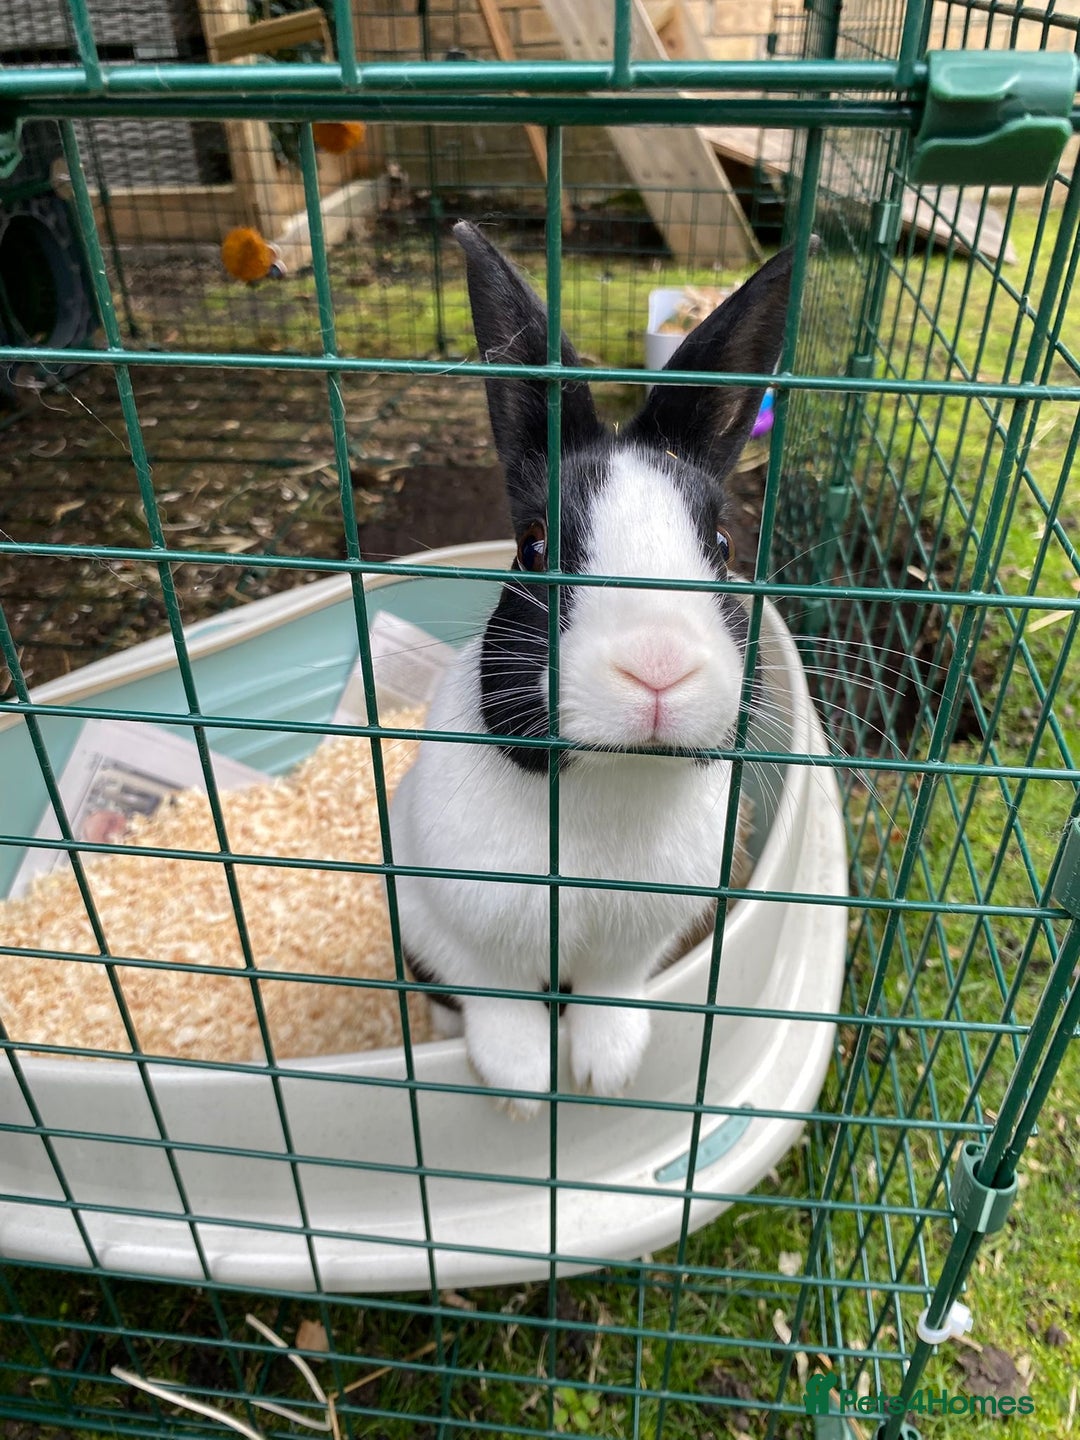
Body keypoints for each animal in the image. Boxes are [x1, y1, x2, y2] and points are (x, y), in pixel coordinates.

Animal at [389, 221, 806, 1118]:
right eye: (534, 549)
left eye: (723, 547)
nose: (657, 666)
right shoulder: (456, 925)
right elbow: (497, 1000)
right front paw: (523, 1089)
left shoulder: (635, 943)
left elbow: (613, 990)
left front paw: (606, 1073)